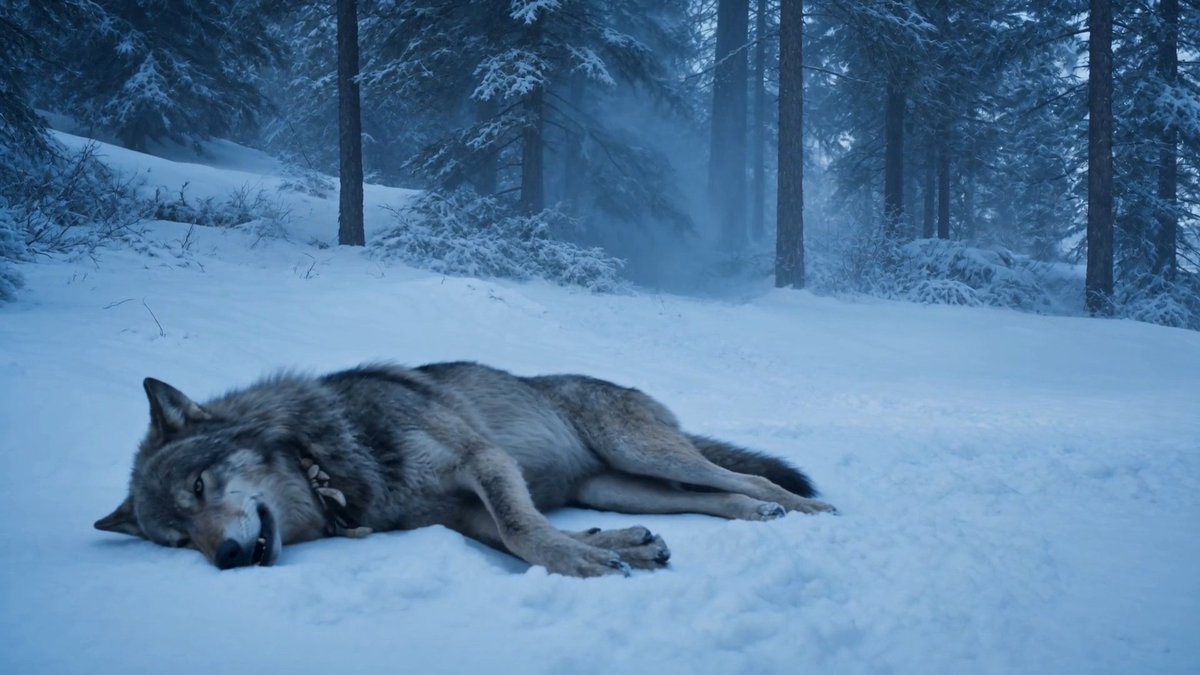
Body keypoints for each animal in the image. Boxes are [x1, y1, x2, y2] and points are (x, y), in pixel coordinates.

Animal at [95, 362, 835, 577]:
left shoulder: (483, 461)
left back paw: (807, 509)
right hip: (623, 487)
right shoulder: (461, 511)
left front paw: (580, 564)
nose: (223, 557)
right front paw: (614, 549)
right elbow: (523, 531)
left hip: (641, 451)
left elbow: (523, 531)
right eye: (176, 540)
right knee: (713, 497)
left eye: (198, 486)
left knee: (746, 477)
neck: (326, 460)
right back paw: (755, 516)